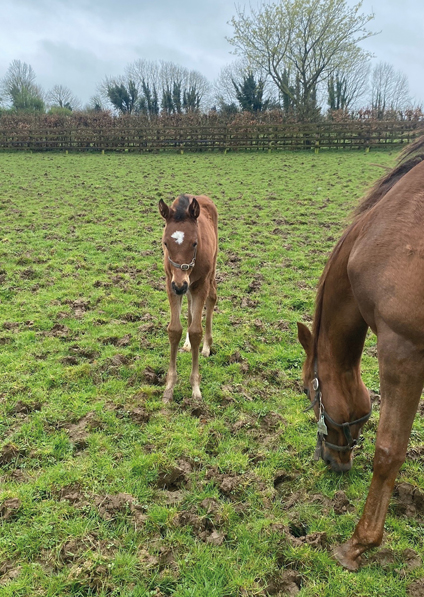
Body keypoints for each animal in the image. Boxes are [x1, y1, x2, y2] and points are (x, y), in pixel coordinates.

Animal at [159, 193, 219, 402]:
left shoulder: (199, 284)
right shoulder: (170, 283)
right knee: (191, 305)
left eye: (194, 243)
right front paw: (169, 387)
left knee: (212, 297)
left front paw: (195, 387)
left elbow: (196, 332)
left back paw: (207, 347)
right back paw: (186, 345)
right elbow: (174, 330)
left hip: (209, 273)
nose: (180, 285)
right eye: (165, 243)